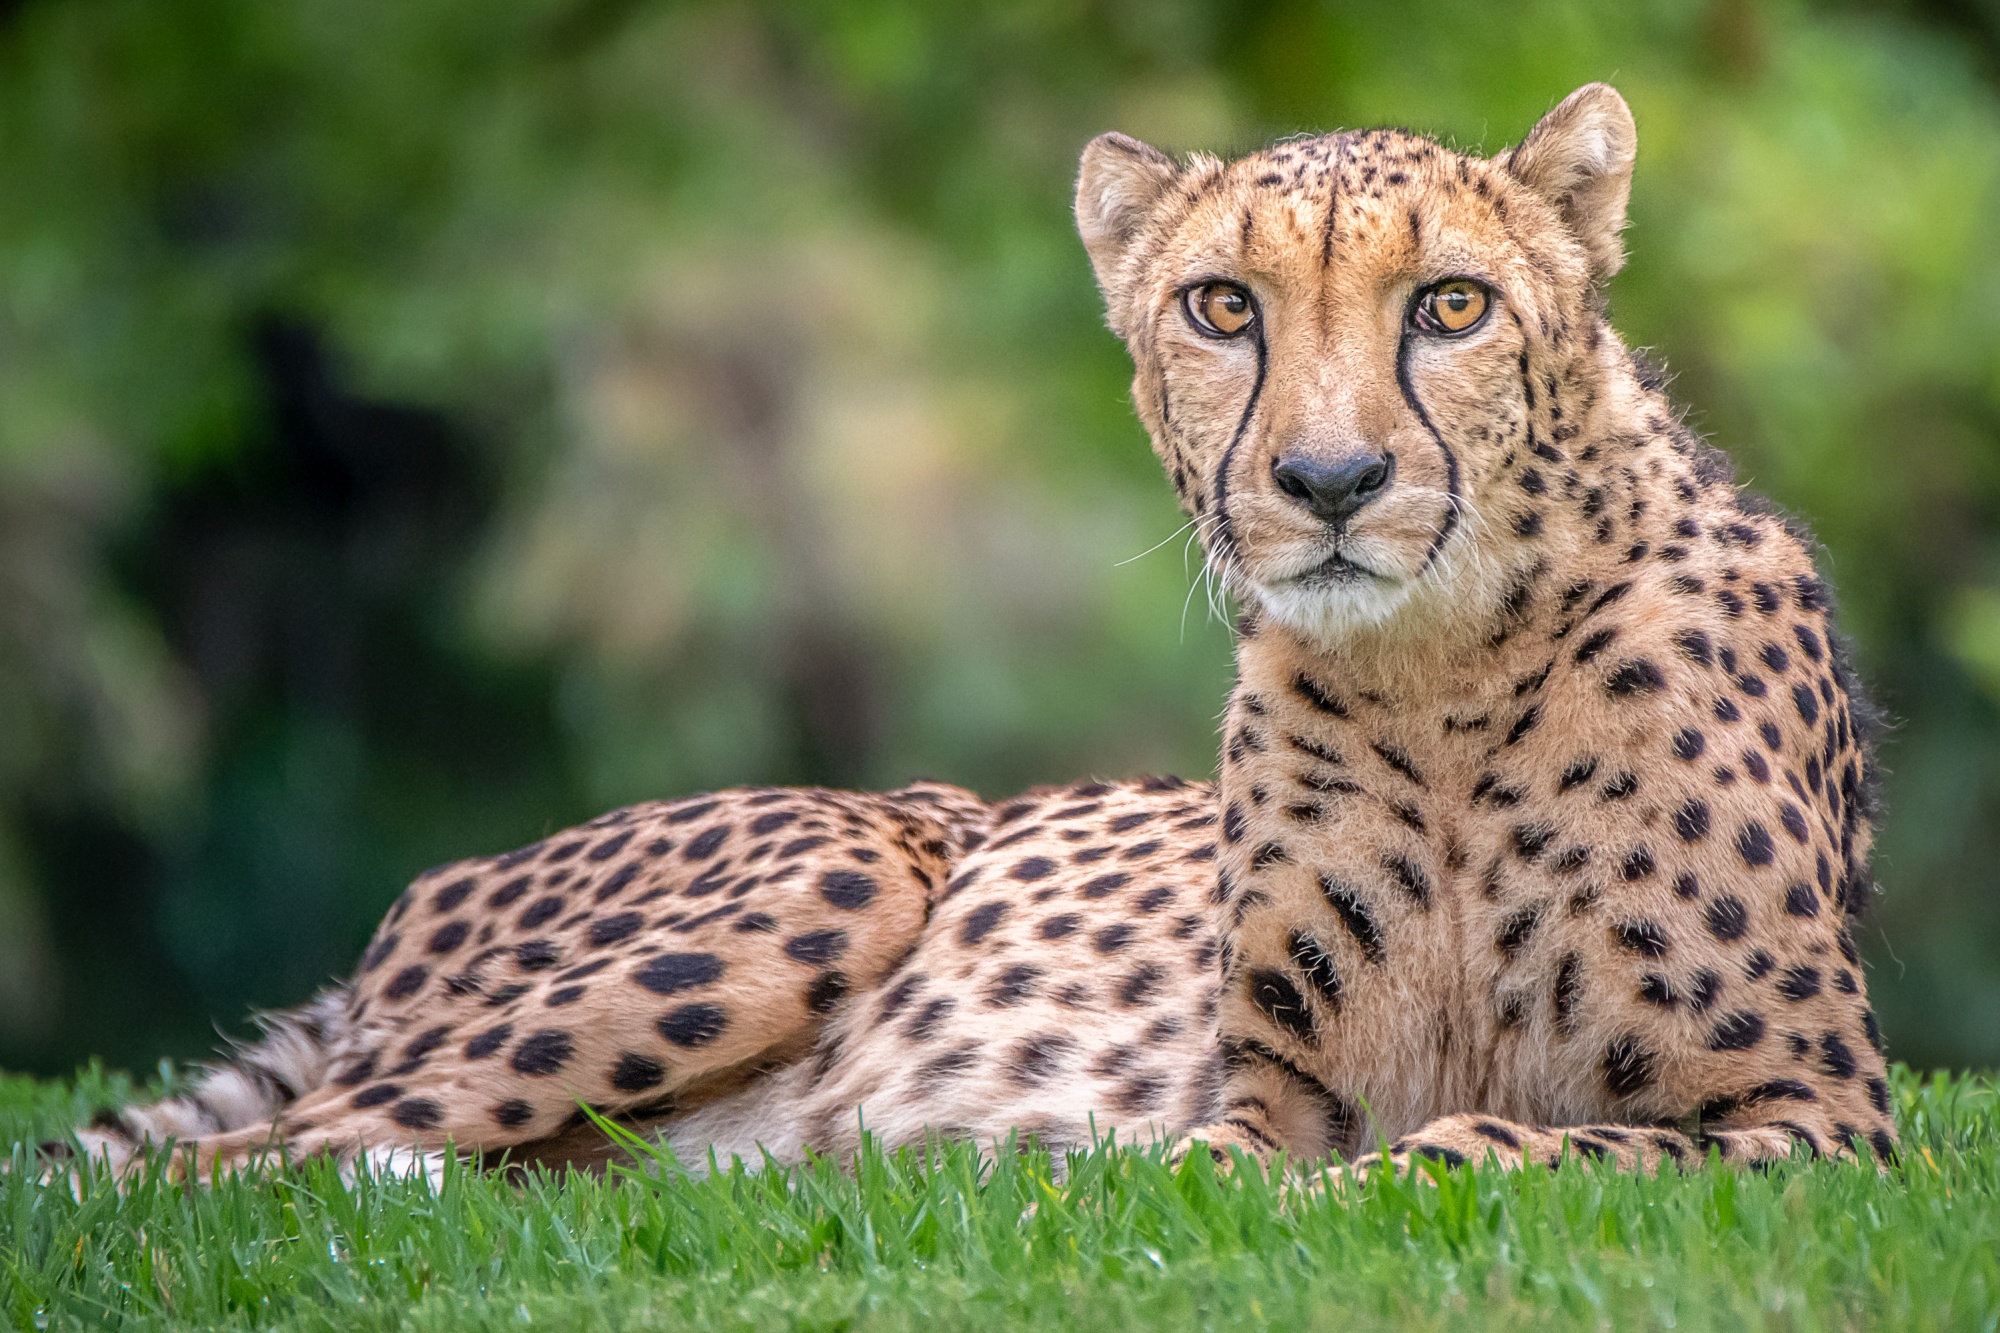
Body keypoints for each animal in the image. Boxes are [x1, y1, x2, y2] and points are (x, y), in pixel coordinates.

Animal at [50, 83, 1888, 1176]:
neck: (1442, 669)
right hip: (845, 858)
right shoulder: (1267, 1092)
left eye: (1451, 305)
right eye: (1223, 306)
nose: (1330, 480)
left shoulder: (1827, 1114)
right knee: (226, 1171)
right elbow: (1250, 1165)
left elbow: (1542, 1140)